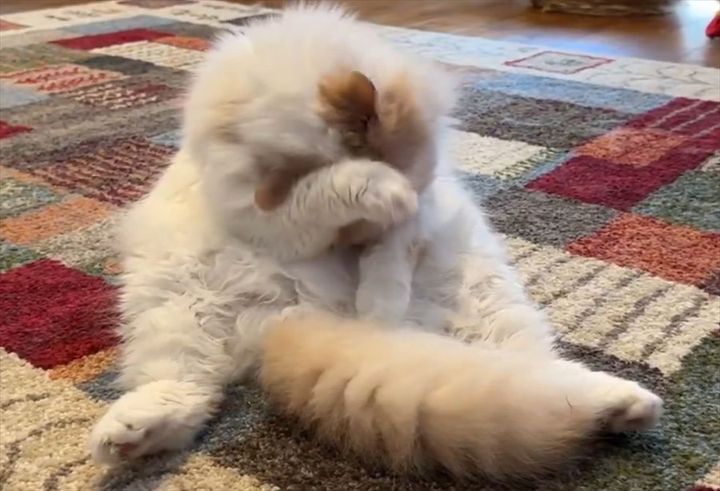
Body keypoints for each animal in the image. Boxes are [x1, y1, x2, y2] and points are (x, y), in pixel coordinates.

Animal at [89, 5, 662, 480]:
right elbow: (328, 193)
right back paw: (127, 435)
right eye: (346, 238)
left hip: (491, 308)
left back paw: (627, 405)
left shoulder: (423, 202)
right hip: (173, 311)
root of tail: (294, 315)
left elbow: (393, 249)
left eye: (361, 243)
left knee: (541, 378)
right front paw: (367, 193)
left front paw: (380, 293)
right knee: (185, 391)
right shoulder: (281, 222)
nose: (353, 254)